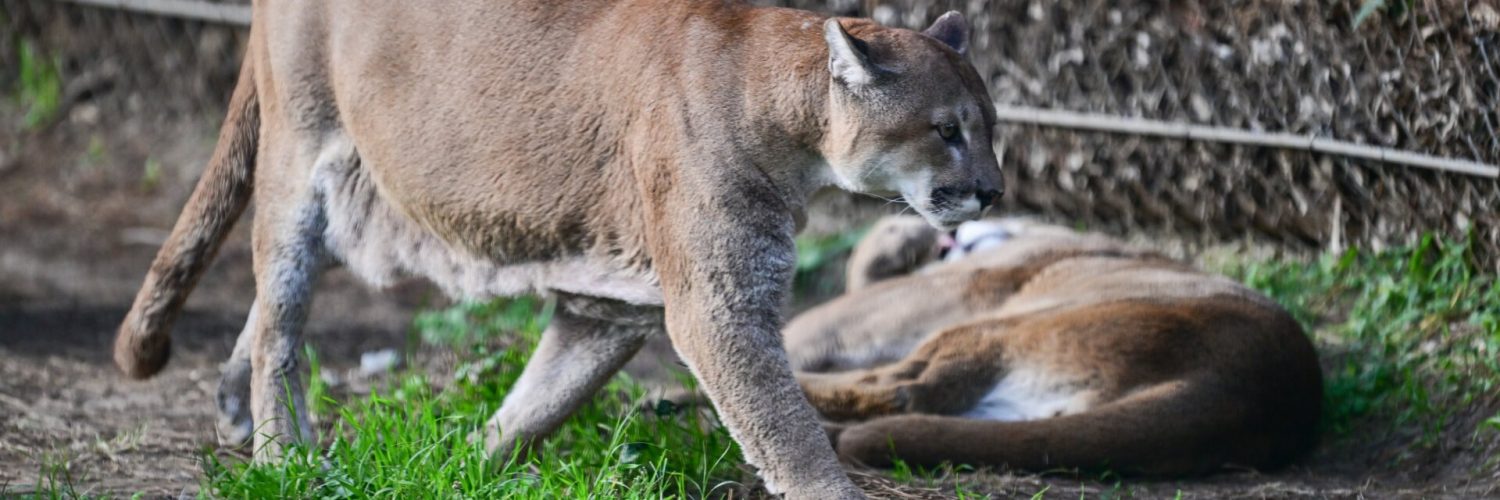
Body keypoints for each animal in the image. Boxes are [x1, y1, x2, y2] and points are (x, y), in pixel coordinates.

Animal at [786, 216, 1326, 474]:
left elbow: (818, 317)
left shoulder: (944, 289)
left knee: (905, 388)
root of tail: (1246, 400)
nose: (953, 227)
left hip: (1000, 327)